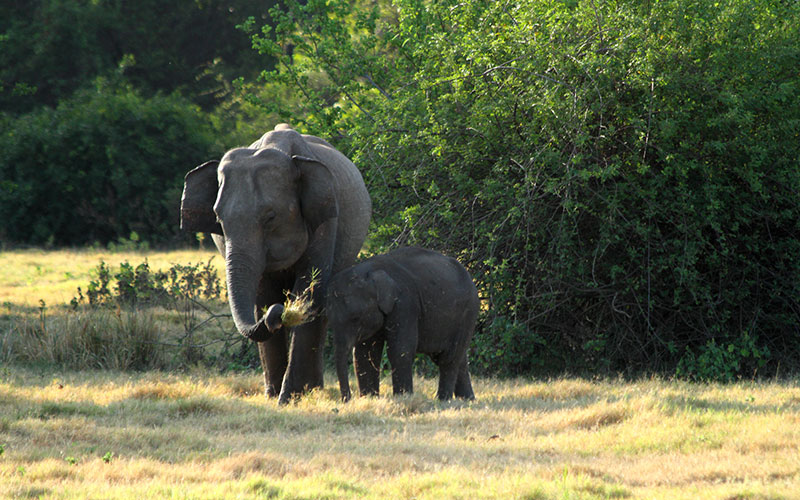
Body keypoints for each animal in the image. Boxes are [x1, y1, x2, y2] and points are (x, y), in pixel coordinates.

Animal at [180, 124, 371, 404]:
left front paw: (289, 397)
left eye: (270, 217)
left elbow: (310, 287)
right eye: (218, 219)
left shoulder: (326, 219)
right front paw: (274, 397)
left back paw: (312, 389)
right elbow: (263, 294)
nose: (280, 312)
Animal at [326, 247, 478, 402]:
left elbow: (400, 349)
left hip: (468, 312)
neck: (371, 270)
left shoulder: (405, 303)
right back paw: (467, 400)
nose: (347, 399)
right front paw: (369, 398)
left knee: (448, 359)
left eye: (355, 318)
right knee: (458, 359)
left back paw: (443, 400)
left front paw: (403, 397)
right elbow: (365, 352)